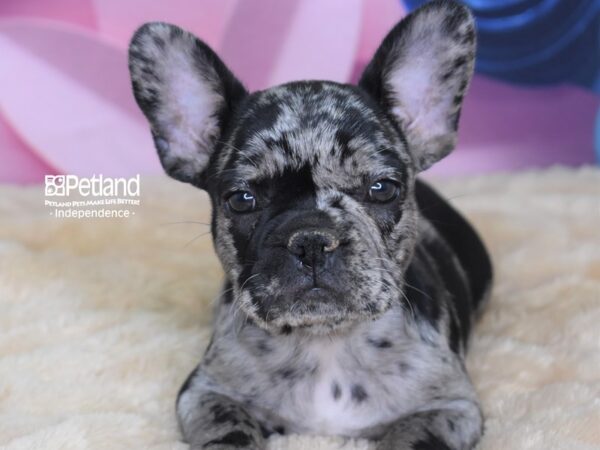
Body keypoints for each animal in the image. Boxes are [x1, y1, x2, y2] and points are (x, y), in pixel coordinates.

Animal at [126, 1, 492, 448]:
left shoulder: (450, 406)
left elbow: (414, 435)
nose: (312, 240)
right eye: (241, 200)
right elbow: (229, 430)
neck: (326, 341)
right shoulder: (206, 392)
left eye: (382, 189)